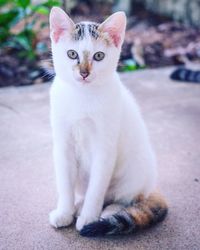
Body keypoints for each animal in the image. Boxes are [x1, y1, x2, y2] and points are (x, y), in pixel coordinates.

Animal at [48, 5, 167, 236]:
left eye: (99, 56)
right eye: (72, 54)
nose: (84, 73)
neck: (82, 97)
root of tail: (150, 187)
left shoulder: (105, 148)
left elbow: (97, 189)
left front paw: (88, 217)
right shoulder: (63, 145)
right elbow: (65, 184)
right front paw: (64, 212)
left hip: (137, 171)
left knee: (124, 198)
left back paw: (108, 212)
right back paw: (77, 206)